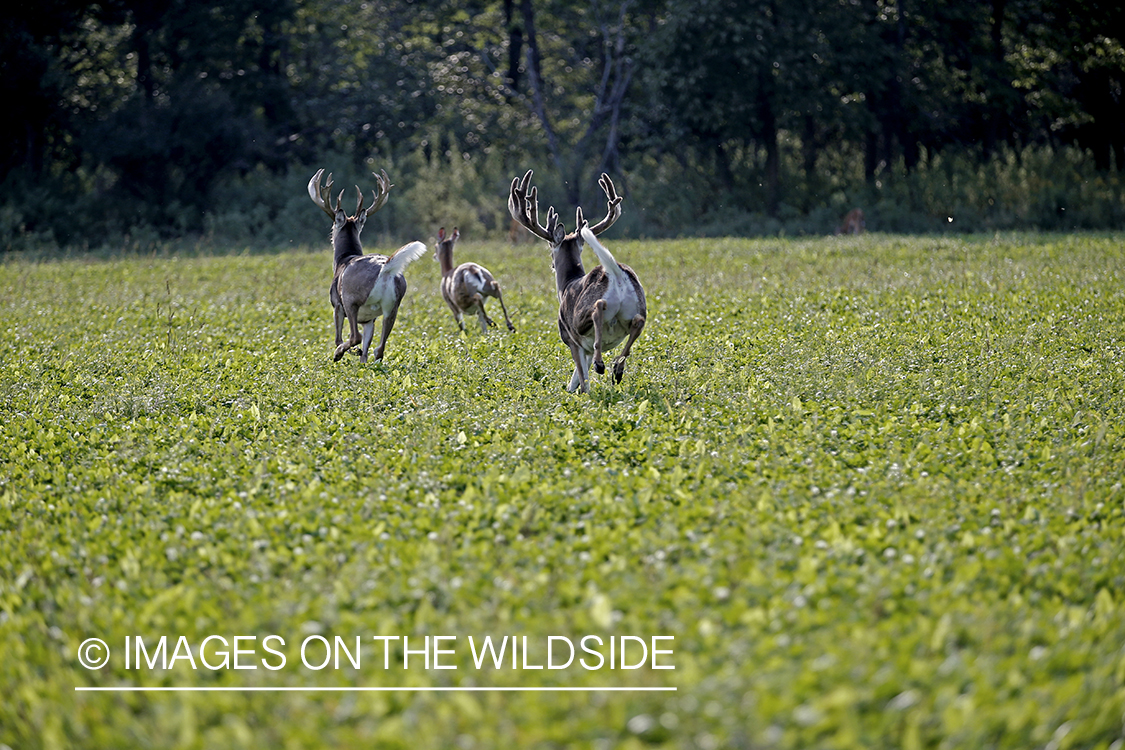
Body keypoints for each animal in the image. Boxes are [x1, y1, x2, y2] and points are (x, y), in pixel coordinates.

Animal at [308, 168, 425, 362]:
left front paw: (342, 352)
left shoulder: (337, 304)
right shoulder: (369, 319)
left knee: (354, 336)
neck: (344, 259)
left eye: (333, 225)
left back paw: (338, 353)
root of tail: (386, 269)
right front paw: (359, 358)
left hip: (351, 299)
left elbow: (340, 337)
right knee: (379, 349)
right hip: (392, 306)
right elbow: (366, 348)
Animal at [508, 169, 648, 393]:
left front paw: (583, 391)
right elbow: (575, 382)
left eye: (550, 251)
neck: (566, 286)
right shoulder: (585, 348)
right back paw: (617, 369)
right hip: (635, 307)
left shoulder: (571, 339)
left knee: (598, 308)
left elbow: (582, 381)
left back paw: (603, 364)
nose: (552, 265)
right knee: (638, 321)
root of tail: (615, 272)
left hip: (579, 318)